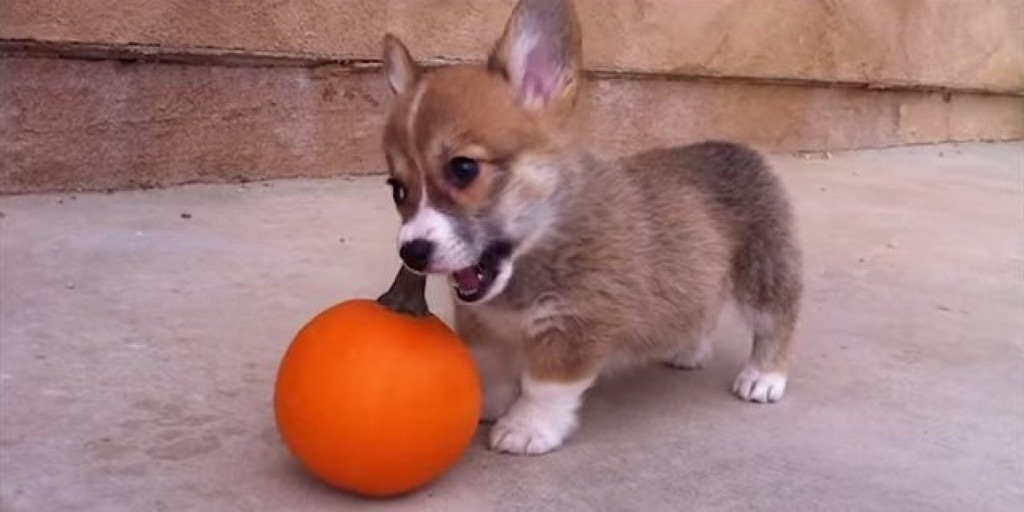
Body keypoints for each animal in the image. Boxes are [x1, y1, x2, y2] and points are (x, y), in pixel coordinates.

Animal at [376, 0, 798, 456]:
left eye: (463, 169)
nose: (411, 253)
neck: (536, 252)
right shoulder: (482, 324)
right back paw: (688, 349)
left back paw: (763, 377)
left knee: (777, 320)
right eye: (398, 189)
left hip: (763, 272)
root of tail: (735, 146)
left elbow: (544, 387)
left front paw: (525, 427)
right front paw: (486, 402)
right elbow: (491, 365)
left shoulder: (576, 326)